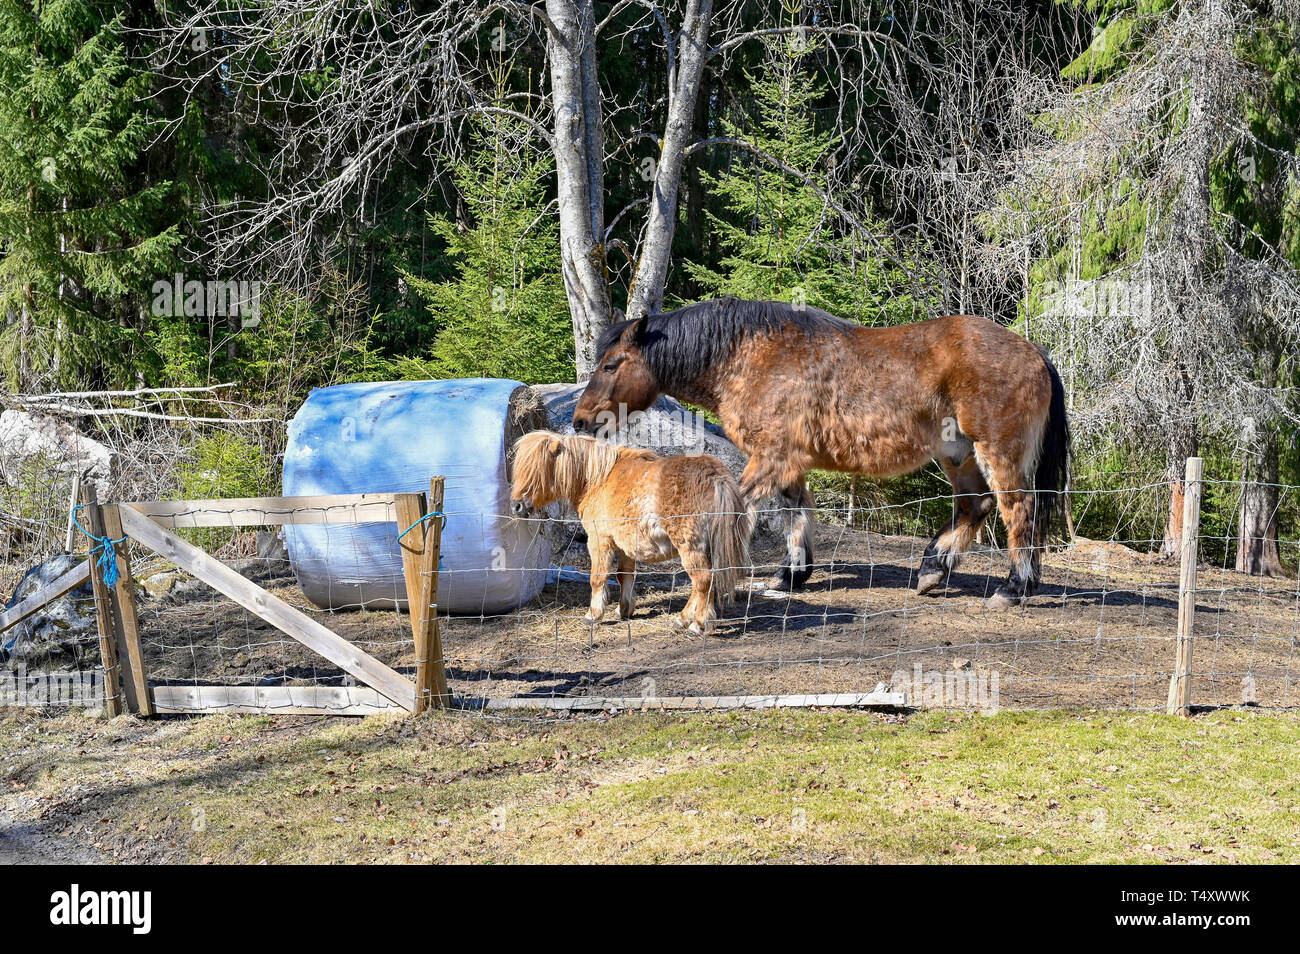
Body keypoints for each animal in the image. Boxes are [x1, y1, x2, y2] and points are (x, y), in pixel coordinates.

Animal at [510, 431, 754, 634]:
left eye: (537, 470)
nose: (517, 506)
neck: (597, 479)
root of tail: (715, 476)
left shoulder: (599, 542)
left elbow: (597, 578)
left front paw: (593, 614)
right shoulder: (626, 546)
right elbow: (624, 575)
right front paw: (624, 610)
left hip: (690, 548)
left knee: (702, 581)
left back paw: (697, 624)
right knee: (704, 583)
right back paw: (685, 619)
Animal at [572, 298, 1069, 608]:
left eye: (611, 365)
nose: (580, 419)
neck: (750, 355)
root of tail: (1036, 352)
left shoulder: (770, 459)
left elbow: (740, 508)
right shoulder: (788, 462)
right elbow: (794, 513)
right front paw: (792, 575)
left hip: (998, 452)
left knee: (1017, 509)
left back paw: (1014, 587)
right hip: (958, 454)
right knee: (975, 505)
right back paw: (932, 570)